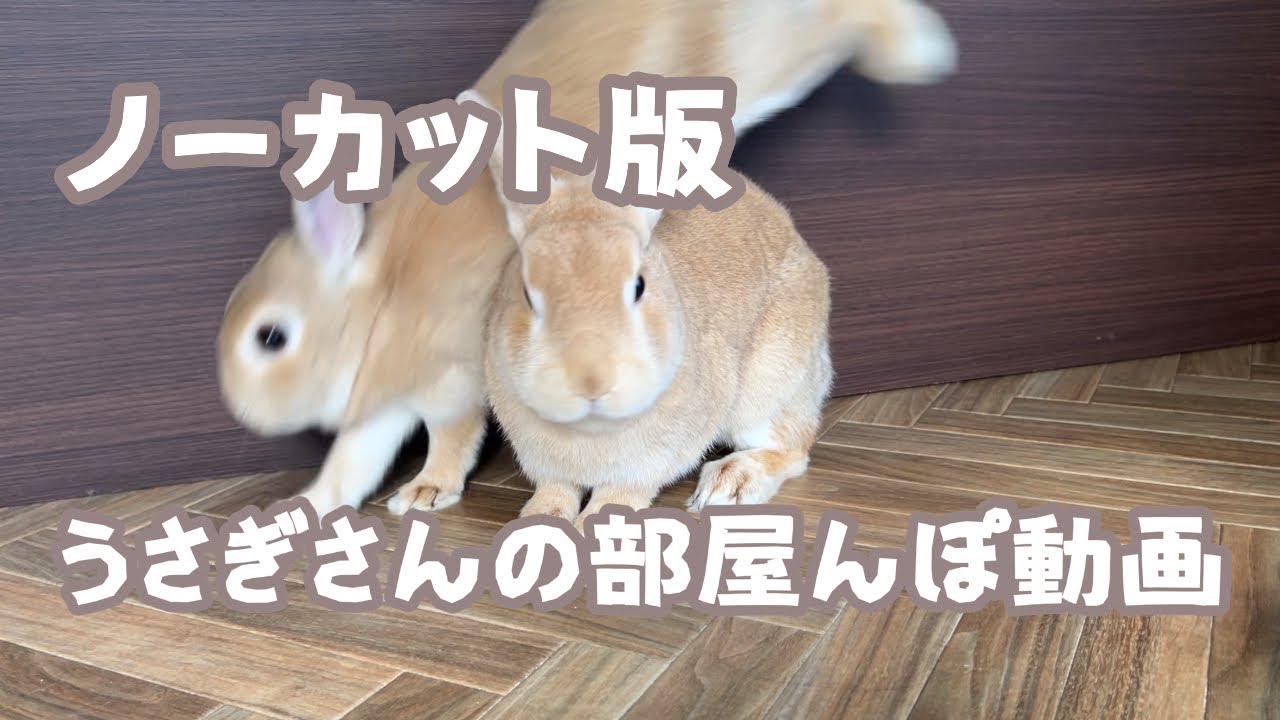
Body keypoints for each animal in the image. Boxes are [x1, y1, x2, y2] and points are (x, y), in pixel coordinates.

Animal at [471, 90, 834, 525]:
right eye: (526, 293)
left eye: (638, 286)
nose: (591, 380)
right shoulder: (548, 466)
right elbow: (555, 491)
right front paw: (536, 523)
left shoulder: (648, 462)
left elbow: (618, 496)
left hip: (769, 384)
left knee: (794, 449)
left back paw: (729, 484)